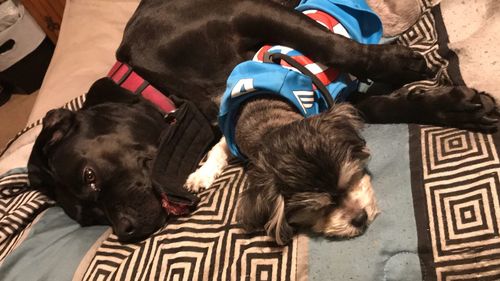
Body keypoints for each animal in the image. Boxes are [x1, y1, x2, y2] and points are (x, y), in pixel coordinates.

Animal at [26, 0, 496, 242]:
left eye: (89, 176)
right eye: (89, 217)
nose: (125, 232)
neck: (158, 83)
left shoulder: (248, 11)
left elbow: (331, 44)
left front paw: (400, 63)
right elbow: (377, 107)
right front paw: (454, 107)